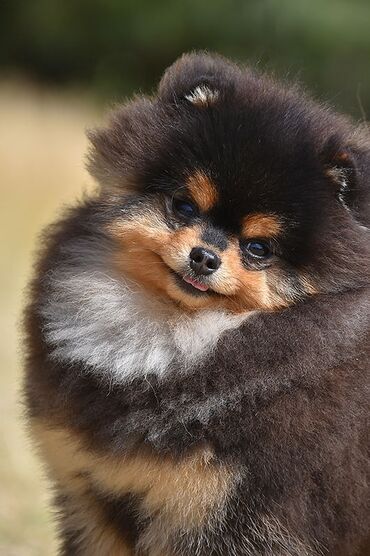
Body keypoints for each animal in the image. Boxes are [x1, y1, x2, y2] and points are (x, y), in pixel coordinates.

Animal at [24, 53, 368, 556]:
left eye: (259, 248)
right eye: (184, 206)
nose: (204, 257)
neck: (167, 341)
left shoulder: (242, 518)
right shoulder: (94, 499)